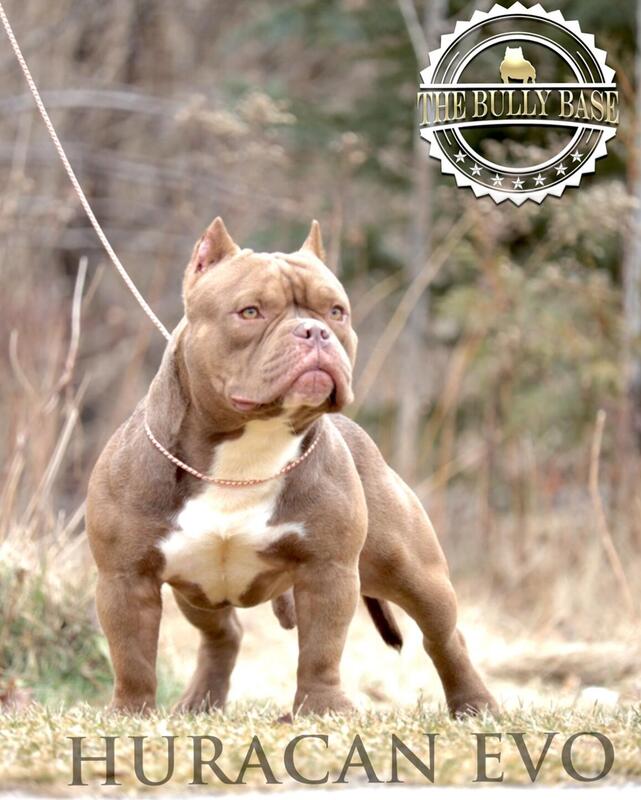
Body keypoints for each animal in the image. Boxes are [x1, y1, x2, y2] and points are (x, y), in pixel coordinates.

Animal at [86, 217, 496, 718]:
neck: (246, 454)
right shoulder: (126, 579)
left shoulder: (328, 570)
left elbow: (321, 649)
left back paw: (475, 705)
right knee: (223, 634)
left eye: (336, 311)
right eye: (250, 312)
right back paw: (201, 702)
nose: (313, 331)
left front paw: (323, 708)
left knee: (444, 636)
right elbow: (132, 655)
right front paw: (130, 712)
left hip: (412, 570)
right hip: (197, 590)